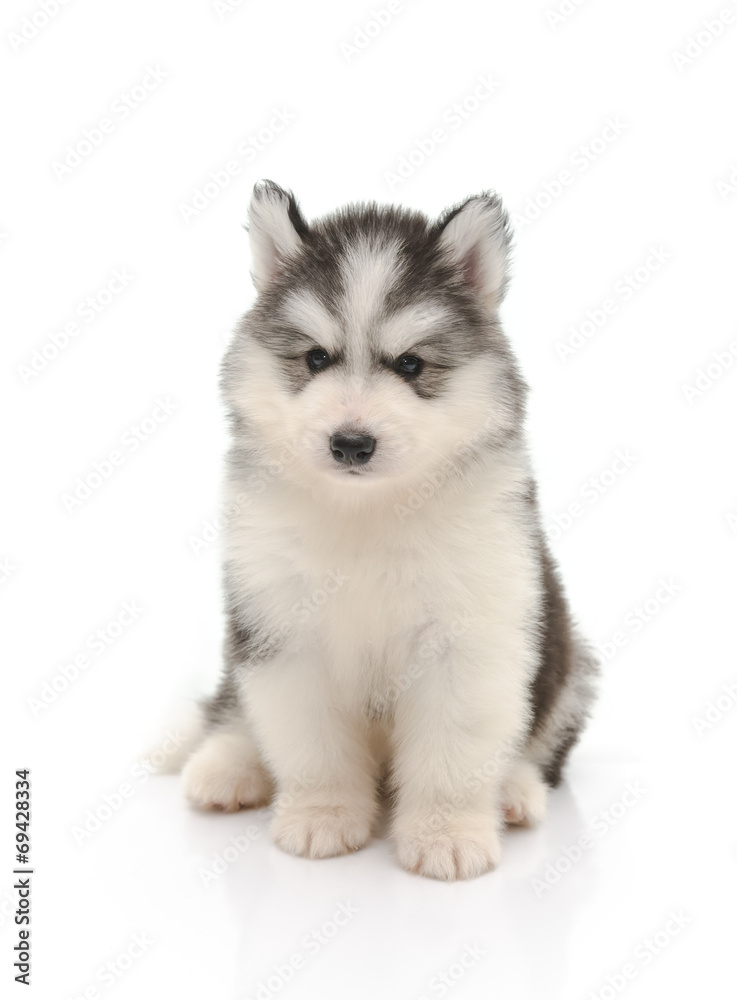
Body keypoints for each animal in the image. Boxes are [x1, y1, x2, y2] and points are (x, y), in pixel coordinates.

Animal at [183, 182, 600, 884]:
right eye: (316, 358)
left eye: (410, 364)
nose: (351, 443)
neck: (368, 511)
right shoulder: (282, 627)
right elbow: (311, 744)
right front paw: (323, 814)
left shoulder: (469, 638)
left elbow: (454, 754)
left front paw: (446, 833)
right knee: (233, 709)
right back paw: (227, 766)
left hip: (567, 663)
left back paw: (514, 792)